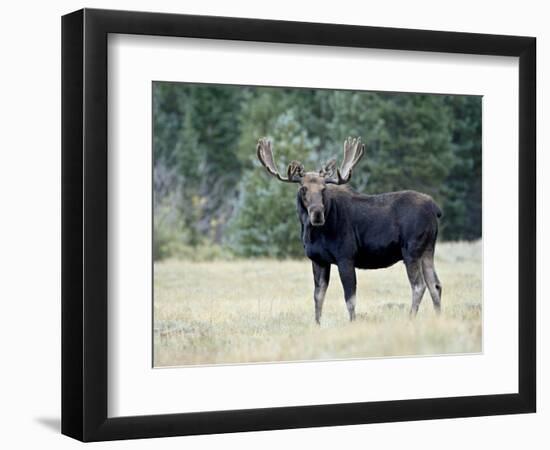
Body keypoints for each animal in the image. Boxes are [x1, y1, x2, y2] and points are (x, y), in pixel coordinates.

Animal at [258, 136, 444, 324]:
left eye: (323, 188)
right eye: (303, 188)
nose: (317, 213)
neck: (313, 234)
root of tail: (435, 208)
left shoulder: (346, 256)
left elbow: (350, 298)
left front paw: (352, 322)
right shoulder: (318, 260)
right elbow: (318, 297)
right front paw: (317, 324)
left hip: (411, 249)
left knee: (419, 285)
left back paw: (411, 317)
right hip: (427, 249)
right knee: (435, 284)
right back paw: (437, 317)